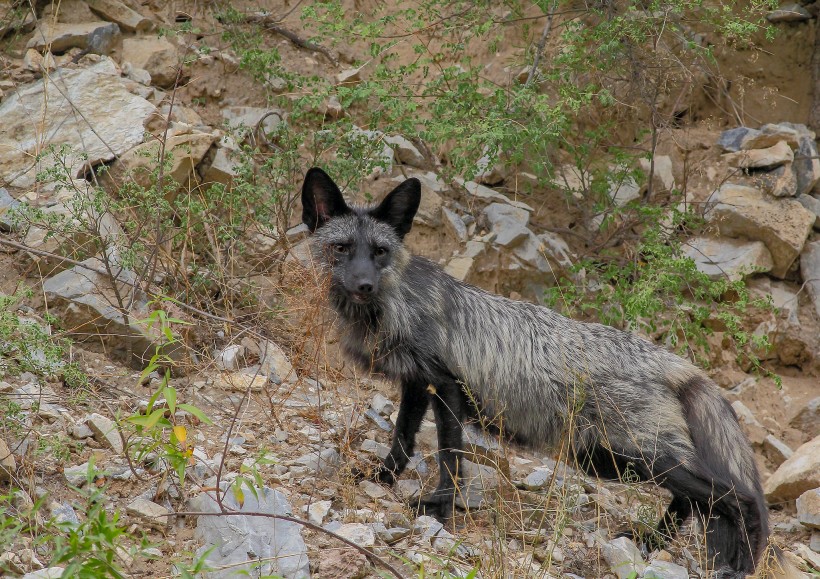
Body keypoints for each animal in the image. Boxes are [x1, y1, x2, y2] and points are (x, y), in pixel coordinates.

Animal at [302, 167, 768, 576]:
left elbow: (450, 456)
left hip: (636, 454)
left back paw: (739, 565)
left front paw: (440, 508)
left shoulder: (448, 385)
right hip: (606, 459)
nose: (364, 285)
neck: (398, 304)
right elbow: (401, 439)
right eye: (342, 248)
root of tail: (671, 360)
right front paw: (382, 478)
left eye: (379, 252)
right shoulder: (418, 382)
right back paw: (649, 543)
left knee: (735, 497)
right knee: (694, 502)